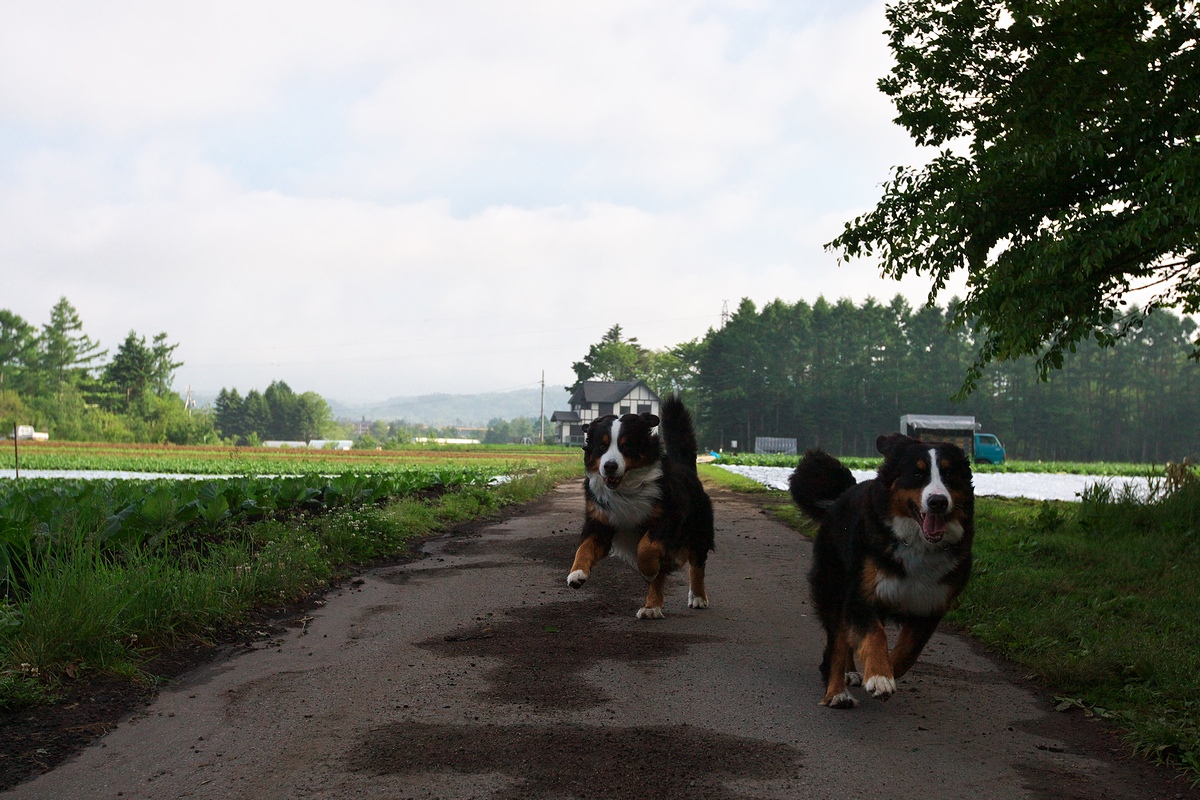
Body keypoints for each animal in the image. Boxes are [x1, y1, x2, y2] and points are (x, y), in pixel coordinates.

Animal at [561, 395, 710, 618]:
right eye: (602, 447)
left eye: (626, 446)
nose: (610, 466)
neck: (626, 489)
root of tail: (686, 467)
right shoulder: (600, 520)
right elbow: (584, 547)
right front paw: (577, 573)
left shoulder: (668, 519)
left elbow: (646, 547)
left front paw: (648, 568)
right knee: (660, 577)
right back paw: (652, 607)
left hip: (698, 530)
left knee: (697, 564)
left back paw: (698, 597)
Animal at [787, 434, 974, 710]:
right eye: (917, 474)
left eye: (950, 474)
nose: (938, 502)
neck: (917, 544)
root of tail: (842, 494)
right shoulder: (861, 594)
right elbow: (874, 636)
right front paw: (878, 676)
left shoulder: (930, 604)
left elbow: (907, 653)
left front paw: (886, 672)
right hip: (834, 588)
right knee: (837, 643)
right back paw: (837, 692)